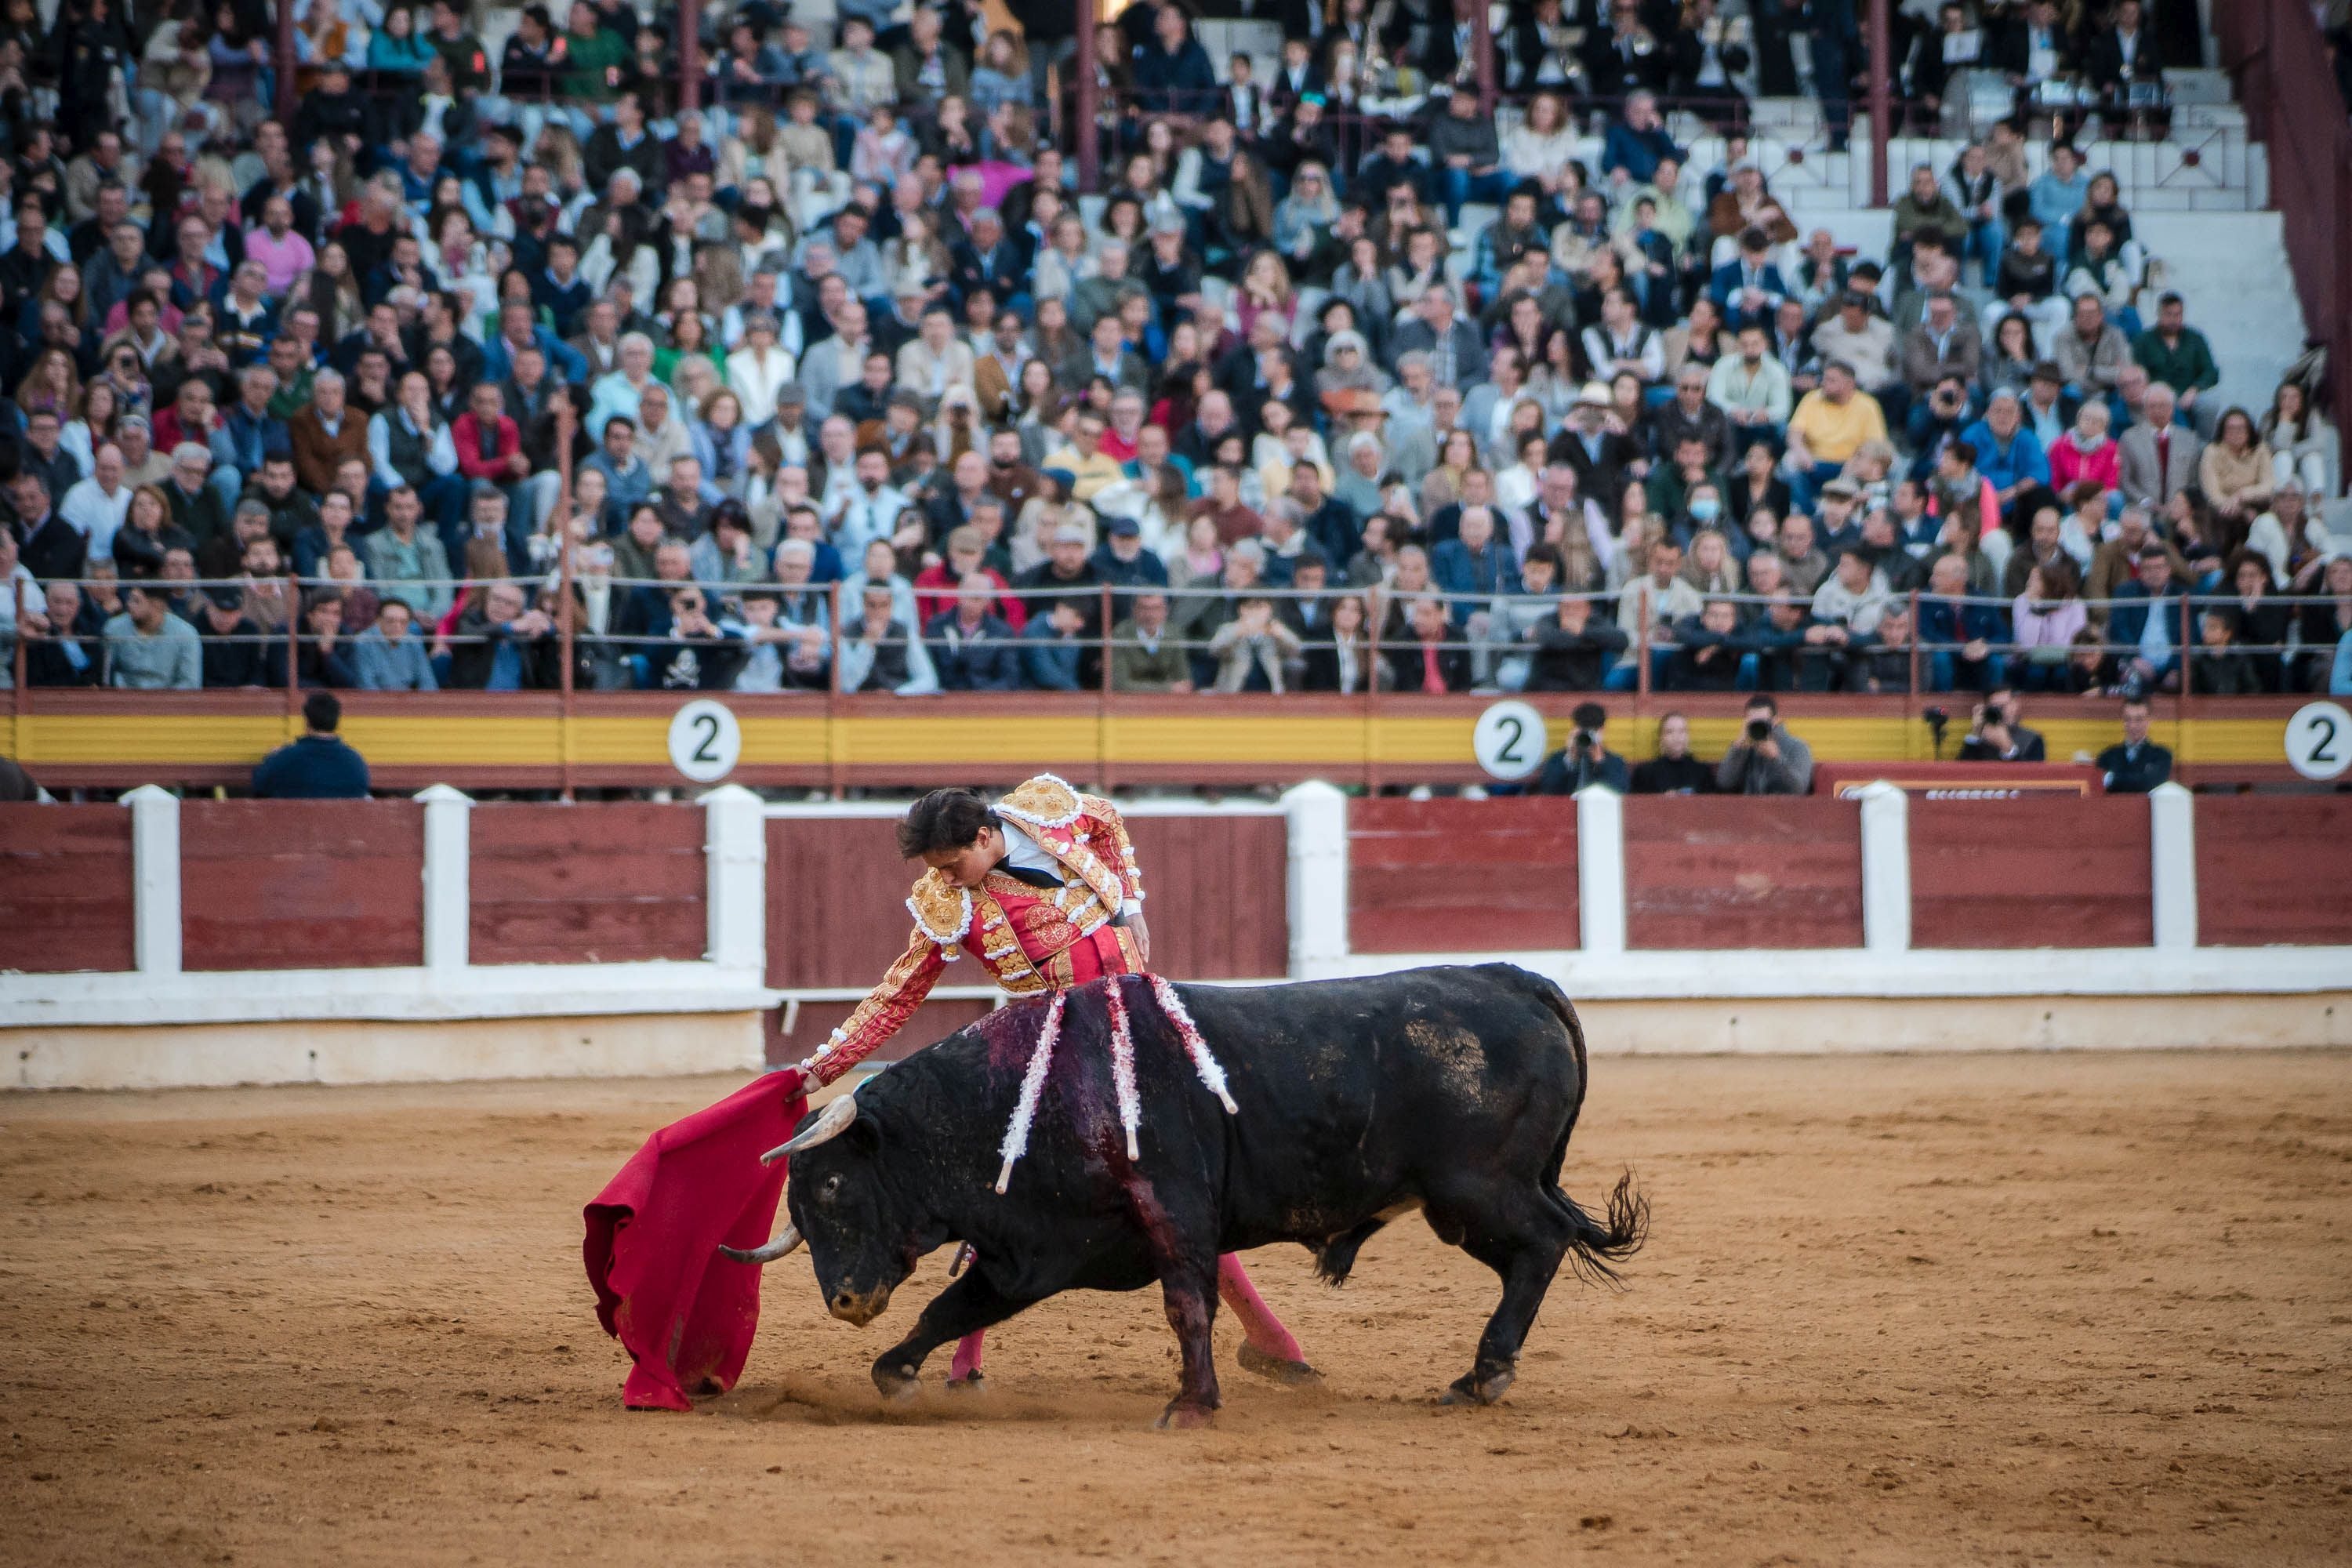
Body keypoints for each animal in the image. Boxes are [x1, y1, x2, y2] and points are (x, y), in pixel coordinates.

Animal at [724, 964, 1646, 1429]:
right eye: (795, 1210)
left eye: (835, 1183)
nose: (845, 1300)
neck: (1027, 1094)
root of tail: (1517, 979)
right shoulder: (1036, 1248)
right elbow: (954, 1306)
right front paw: (896, 1374)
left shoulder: (1173, 1211)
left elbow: (1186, 1303)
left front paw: (1192, 1404)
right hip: (1472, 1195)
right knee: (1541, 1244)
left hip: (1475, 1189)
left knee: (1542, 1243)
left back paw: (1484, 1373)